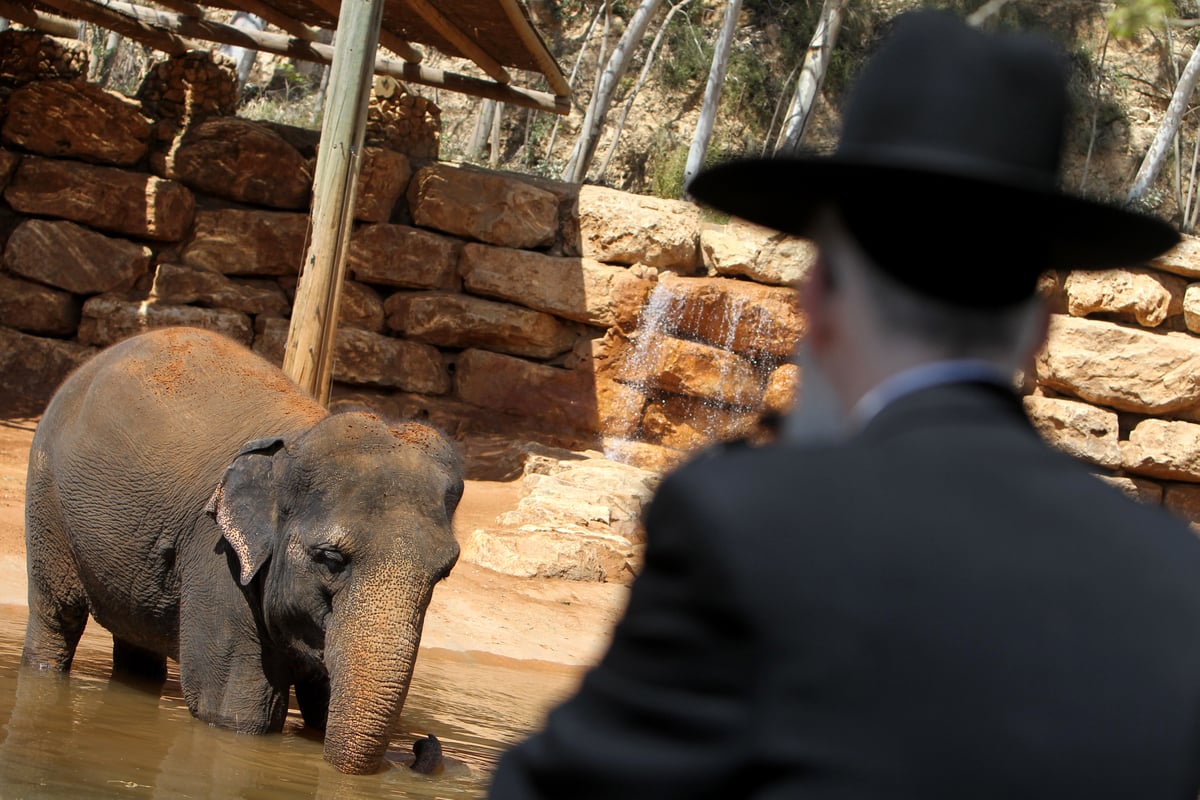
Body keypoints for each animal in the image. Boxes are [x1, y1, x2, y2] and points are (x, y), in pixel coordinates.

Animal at [24, 326, 463, 777]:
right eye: (331, 559)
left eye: (443, 574)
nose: (420, 743)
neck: (300, 439)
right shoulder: (217, 560)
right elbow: (237, 711)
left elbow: (321, 705)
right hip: (45, 499)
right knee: (57, 615)